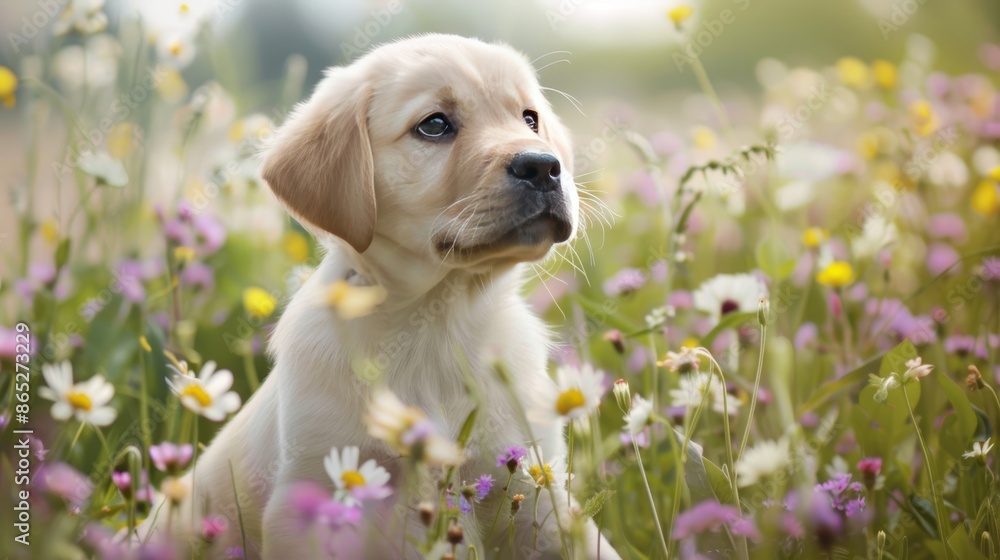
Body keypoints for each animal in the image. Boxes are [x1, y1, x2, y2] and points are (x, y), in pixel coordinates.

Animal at [141, 35, 616, 560]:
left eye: (529, 118)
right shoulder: (314, 494)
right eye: (434, 125)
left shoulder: (535, 484)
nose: (544, 166)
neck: (441, 317)